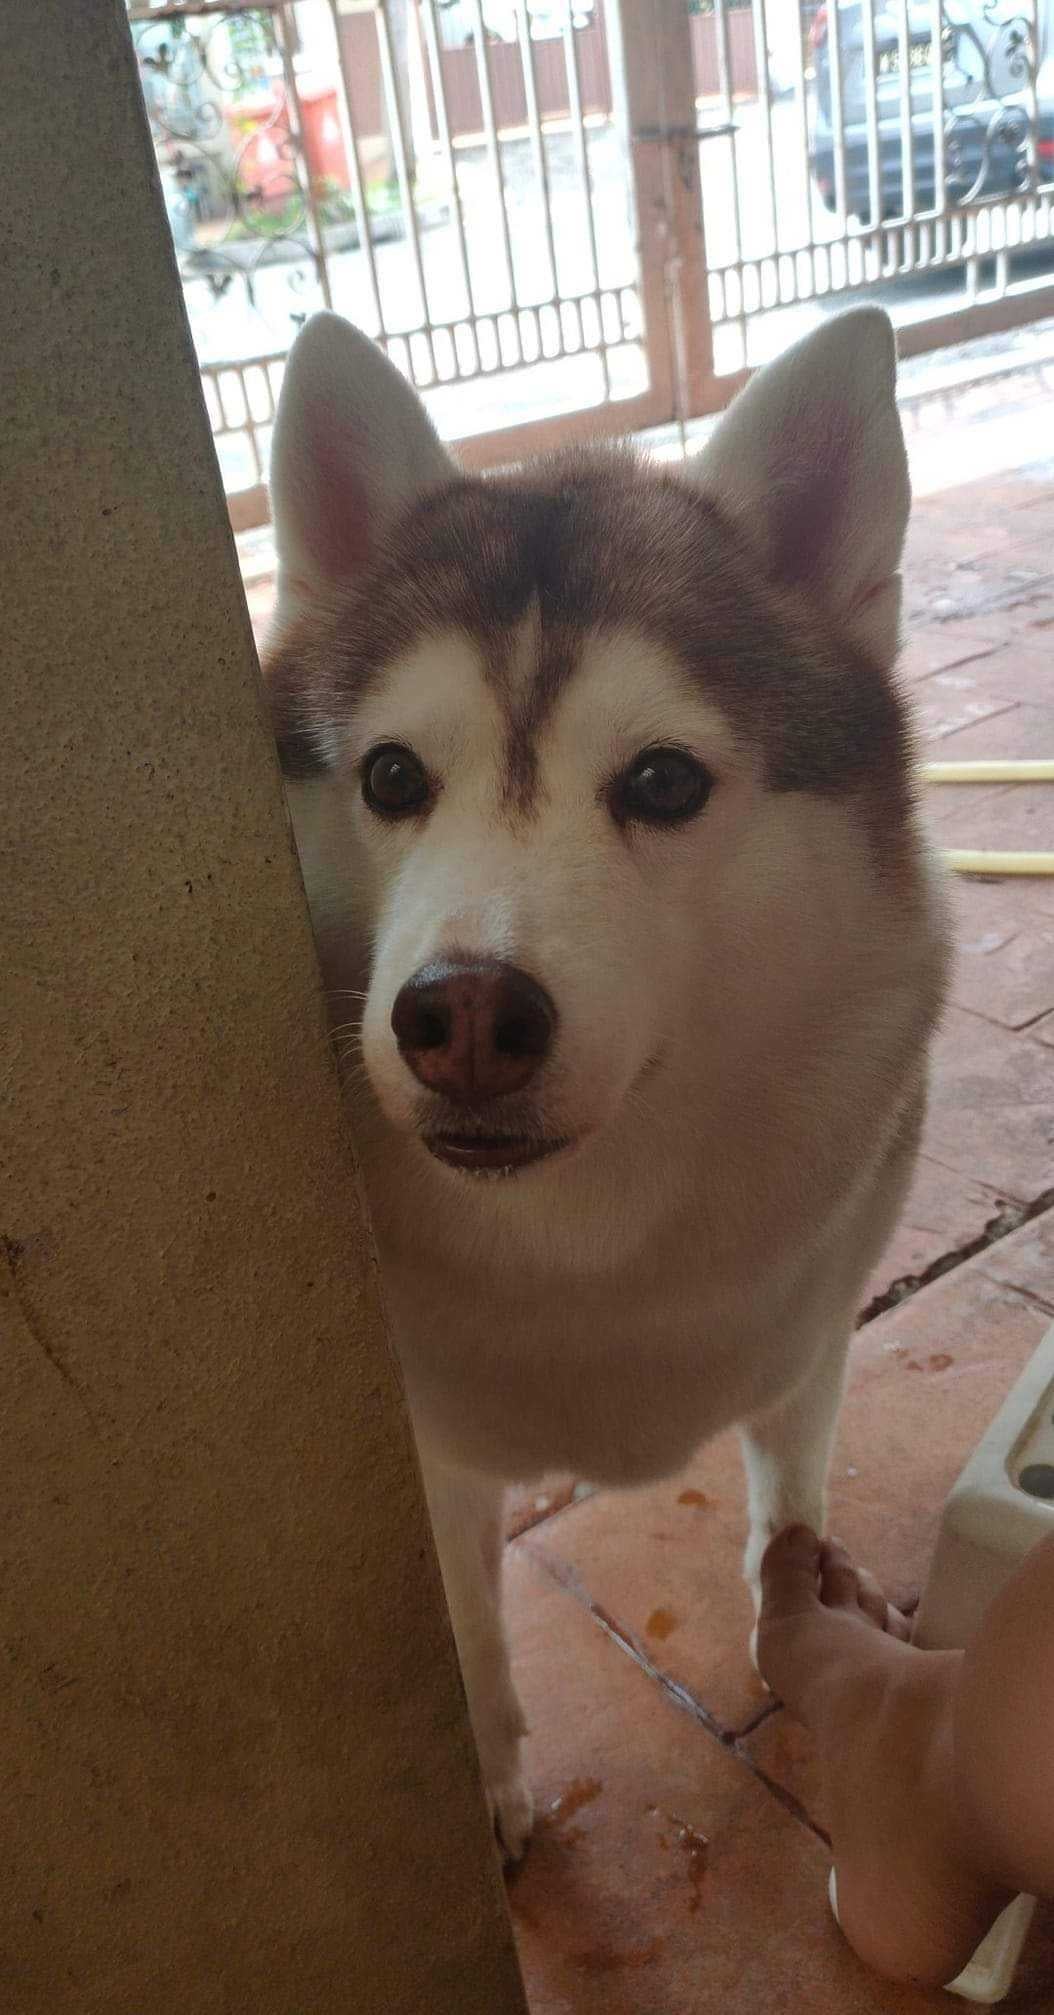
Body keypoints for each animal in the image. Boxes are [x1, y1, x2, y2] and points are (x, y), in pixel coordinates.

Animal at [261, 306, 947, 1861]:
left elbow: (789, 1494)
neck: (587, 1248)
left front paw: (803, 1616)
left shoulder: (810, 1339)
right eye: (391, 775)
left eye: (662, 782)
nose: (461, 1014)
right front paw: (491, 1780)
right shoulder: (427, 1457)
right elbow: (465, 1624)